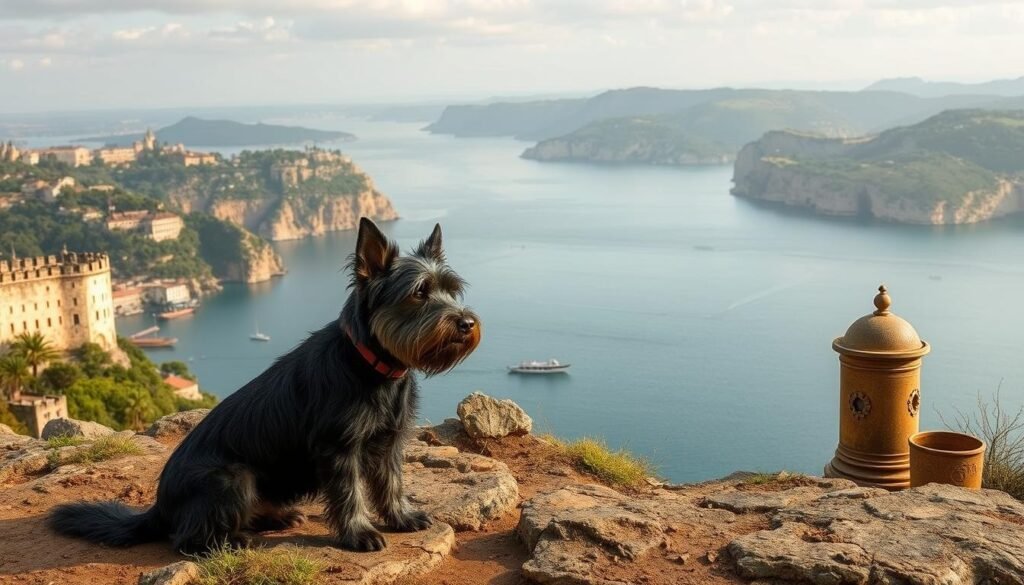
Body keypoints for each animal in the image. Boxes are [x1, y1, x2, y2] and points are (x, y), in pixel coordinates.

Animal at [48, 218, 479, 553]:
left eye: (451, 289)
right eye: (419, 292)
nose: (466, 323)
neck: (373, 366)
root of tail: (158, 507)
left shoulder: (388, 441)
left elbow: (391, 483)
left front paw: (401, 517)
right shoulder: (339, 448)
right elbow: (350, 493)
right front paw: (359, 533)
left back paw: (275, 518)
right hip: (233, 477)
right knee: (186, 538)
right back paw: (231, 541)